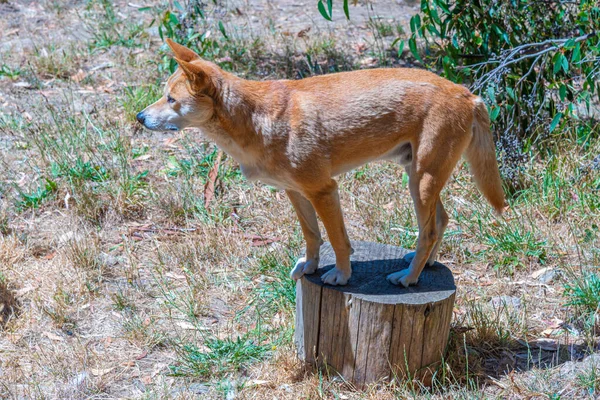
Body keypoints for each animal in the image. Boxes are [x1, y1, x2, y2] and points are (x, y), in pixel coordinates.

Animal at [138, 39, 504, 288]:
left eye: (171, 99)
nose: (139, 117)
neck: (255, 119)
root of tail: (468, 93)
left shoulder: (324, 190)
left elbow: (339, 241)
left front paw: (341, 275)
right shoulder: (296, 193)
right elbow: (312, 236)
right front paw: (310, 267)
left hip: (421, 181)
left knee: (428, 230)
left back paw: (408, 278)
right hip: (419, 179)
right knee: (442, 221)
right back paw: (423, 264)